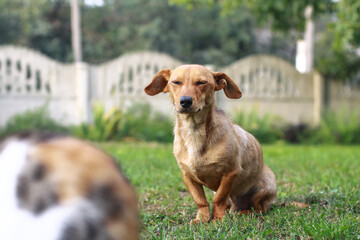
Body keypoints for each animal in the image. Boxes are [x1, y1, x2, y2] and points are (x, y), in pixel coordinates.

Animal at [145, 64, 278, 223]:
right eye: (176, 82)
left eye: (201, 82)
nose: (185, 101)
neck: (194, 131)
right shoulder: (187, 176)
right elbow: (200, 200)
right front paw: (201, 219)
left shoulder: (230, 173)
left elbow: (219, 198)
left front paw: (217, 219)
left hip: (263, 189)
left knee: (259, 208)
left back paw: (244, 213)